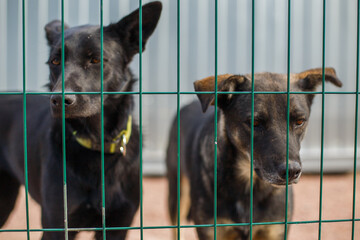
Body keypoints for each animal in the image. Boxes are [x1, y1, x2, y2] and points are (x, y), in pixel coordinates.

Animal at [0, 1, 162, 238]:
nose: (59, 100)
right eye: (55, 61)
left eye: (95, 59)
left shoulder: (118, 225)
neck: (96, 145)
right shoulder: (57, 225)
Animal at [166, 68, 344, 239]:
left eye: (300, 121)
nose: (292, 171)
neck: (249, 183)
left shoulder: (275, 230)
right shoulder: (213, 231)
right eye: (255, 123)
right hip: (177, 195)